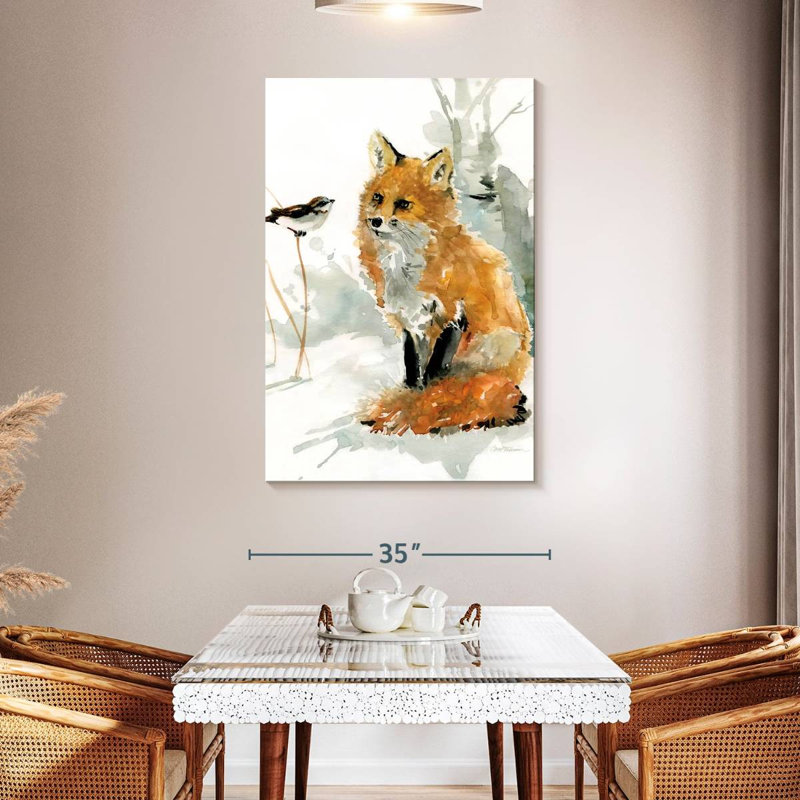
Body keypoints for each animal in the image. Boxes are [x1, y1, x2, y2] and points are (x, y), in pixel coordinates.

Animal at [356, 131, 532, 436]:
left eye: (403, 204)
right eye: (378, 197)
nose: (375, 221)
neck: (405, 268)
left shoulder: (453, 316)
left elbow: (434, 374)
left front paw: (423, 404)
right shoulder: (411, 324)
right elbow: (414, 372)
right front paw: (413, 397)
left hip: (495, 344)